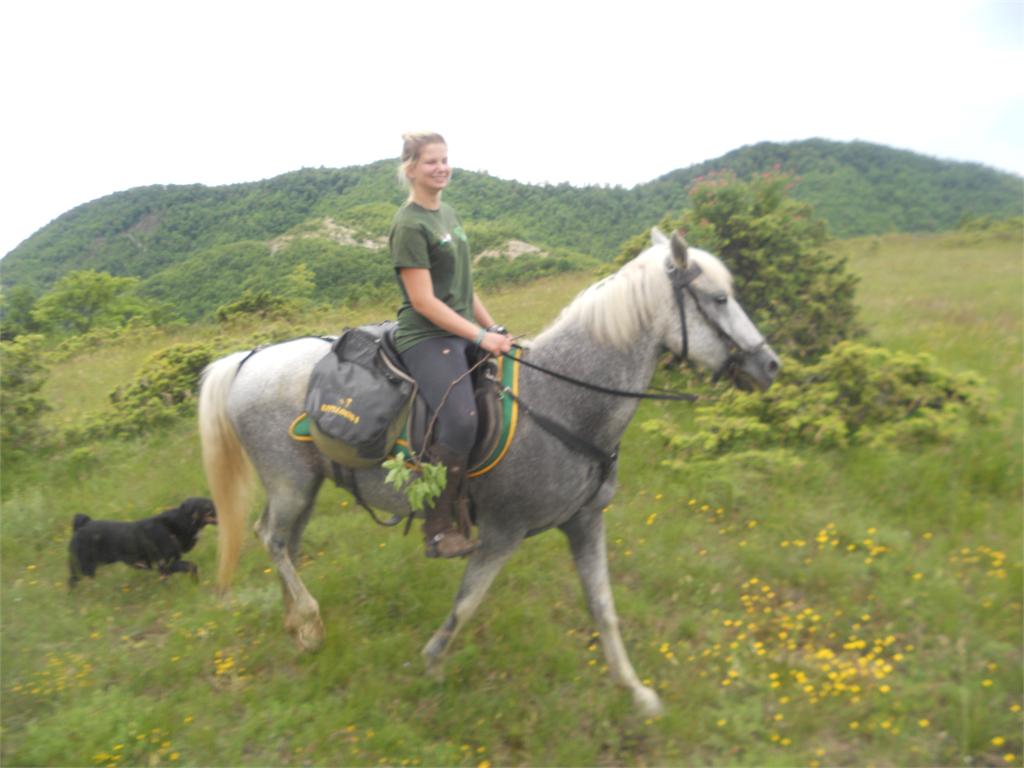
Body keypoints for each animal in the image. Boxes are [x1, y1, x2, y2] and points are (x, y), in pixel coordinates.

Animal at [68, 497, 217, 588]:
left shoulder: (165, 569)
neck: (174, 525)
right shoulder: (165, 564)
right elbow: (192, 566)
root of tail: (81, 525)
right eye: (208, 507)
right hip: (81, 568)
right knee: (72, 583)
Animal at [197, 228, 780, 716]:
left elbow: (604, 609)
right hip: (290, 483)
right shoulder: (503, 531)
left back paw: (296, 626)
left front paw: (636, 693)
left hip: (306, 484)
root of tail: (248, 358)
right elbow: (467, 603)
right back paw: (310, 621)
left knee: (285, 544)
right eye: (719, 298)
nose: (769, 364)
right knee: (273, 540)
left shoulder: (585, 522)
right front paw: (432, 664)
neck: (563, 401)